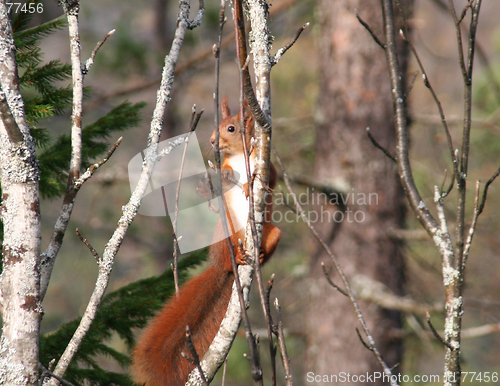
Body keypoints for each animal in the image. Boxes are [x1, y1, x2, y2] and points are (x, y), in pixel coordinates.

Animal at [131, 97, 282, 386]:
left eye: (231, 128)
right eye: (217, 126)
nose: (212, 140)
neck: (239, 157)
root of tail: (223, 268)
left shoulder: (265, 164)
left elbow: (271, 177)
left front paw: (250, 186)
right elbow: (222, 175)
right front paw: (219, 180)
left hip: (273, 231)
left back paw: (258, 255)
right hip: (224, 232)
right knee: (227, 255)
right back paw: (236, 257)